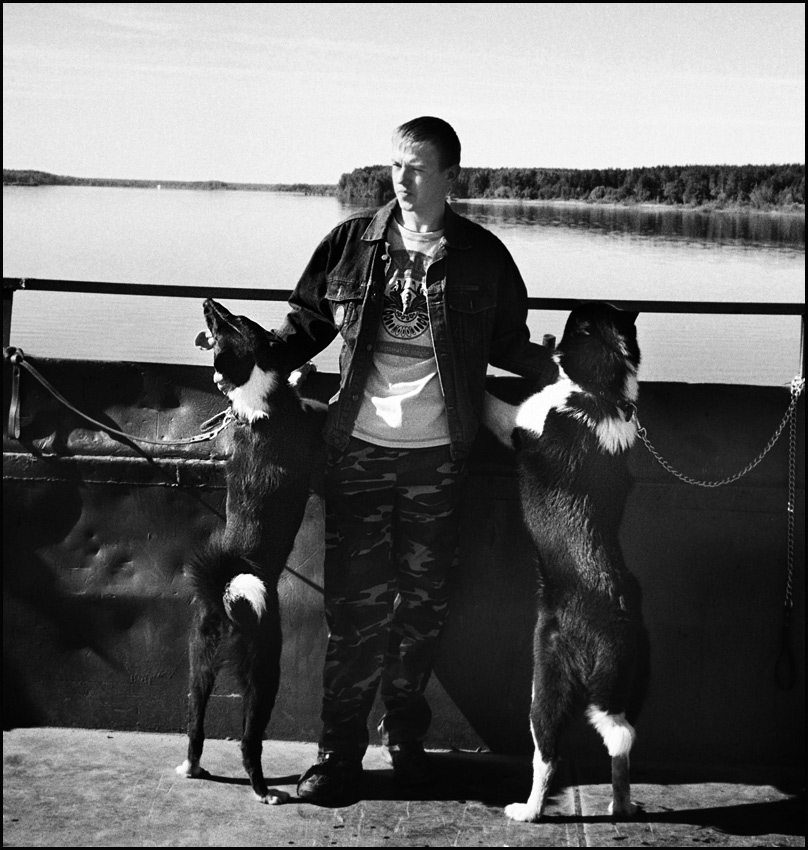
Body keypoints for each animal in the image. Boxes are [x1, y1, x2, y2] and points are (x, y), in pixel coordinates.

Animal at [176, 298, 325, 804]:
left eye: (232, 318)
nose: (206, 301)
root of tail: (226, 589)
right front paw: (302, 376)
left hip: (199, 665)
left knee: (196, 724)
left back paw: (191, 766)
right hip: (264, 669)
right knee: (248, 741)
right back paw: (263, 789)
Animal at [483, 301, 644, 822]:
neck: (599, 393)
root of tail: (614, 625)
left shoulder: (517, 422)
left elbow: (489, 402)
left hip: (546, 681)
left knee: (548, 754)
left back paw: (527, 811)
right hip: (623, 688)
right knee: (621, 744)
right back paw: (621, 804)